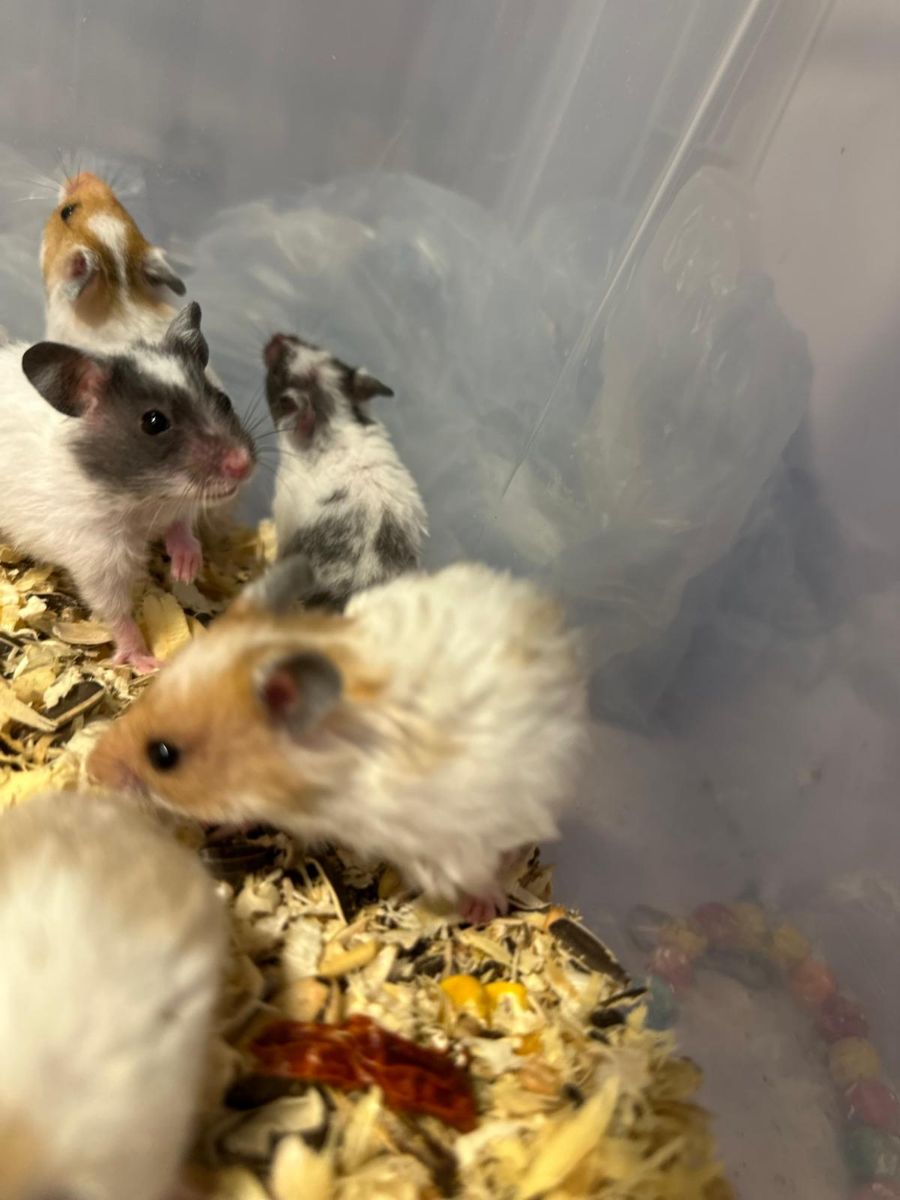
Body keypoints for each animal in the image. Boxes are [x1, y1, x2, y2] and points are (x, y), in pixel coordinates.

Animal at [0, 302, 255, 672]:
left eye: (223, 401)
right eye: (154, 422)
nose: (244, 465)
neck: (144, 498)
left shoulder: (179, 506)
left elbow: (182, 526)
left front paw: (186, 569)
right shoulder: (98, 559)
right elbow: (117, 614)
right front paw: (146, 661)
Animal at [88, 555, 589, 922]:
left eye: (163, 755)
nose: (93, 767)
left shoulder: (456, 843)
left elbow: (480, 871)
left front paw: (481, 908)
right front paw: (222, 826)